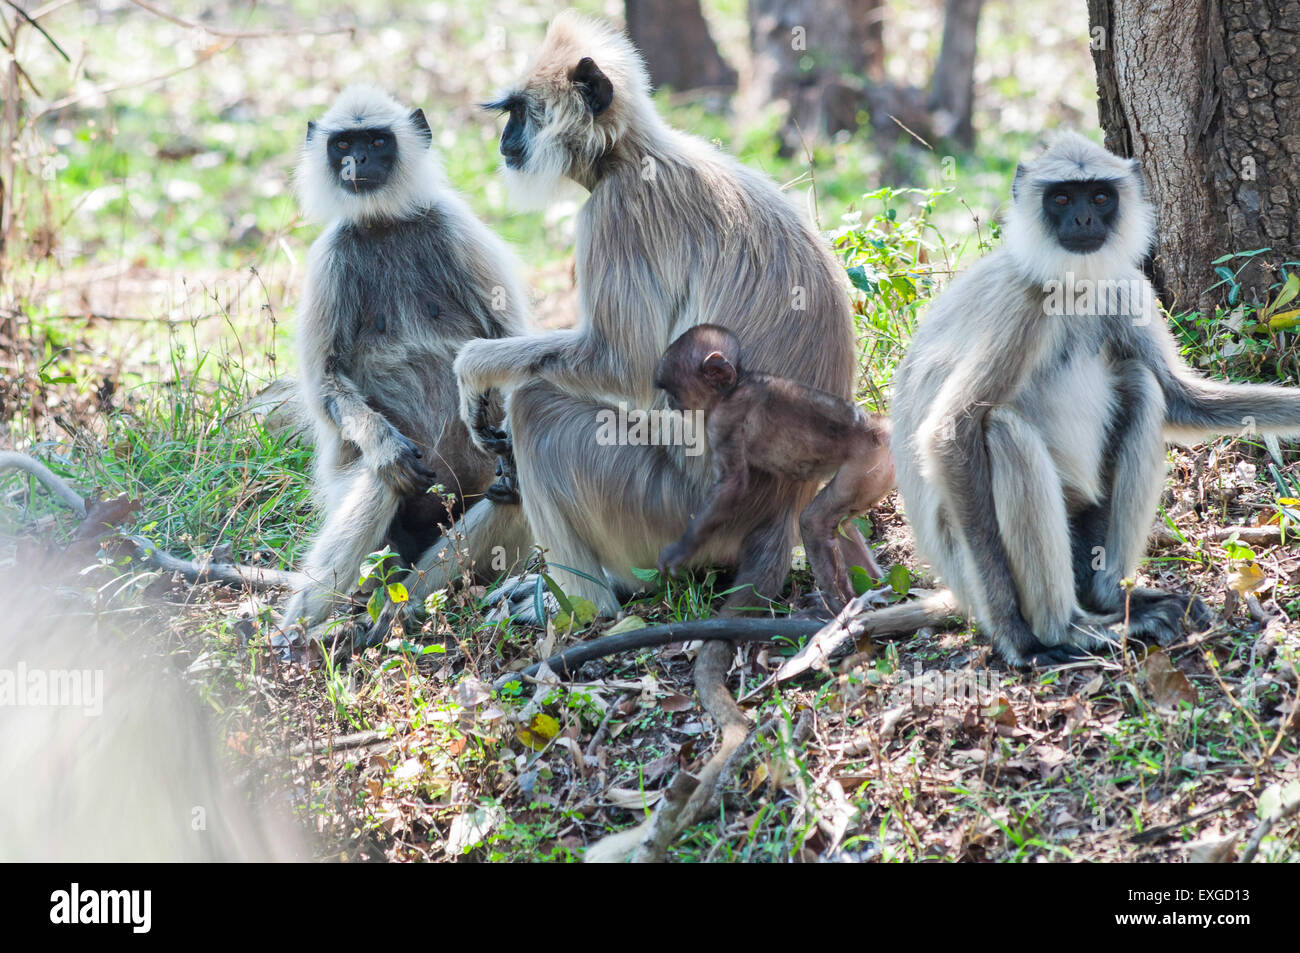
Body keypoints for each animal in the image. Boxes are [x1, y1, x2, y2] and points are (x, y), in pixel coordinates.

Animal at [282, 85, 530, 629]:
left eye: (377, 141)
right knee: (382, 480)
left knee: (513, 489)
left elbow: (509, 343)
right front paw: (386, 448)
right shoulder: (330, 256)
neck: (384, 223)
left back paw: (402, 611)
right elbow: (326, 385)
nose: (357, 162)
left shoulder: (454, 229)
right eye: (343, 144)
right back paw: (302, 630)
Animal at [384, 14, 852, 629]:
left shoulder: (615, 213)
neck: (627, 156)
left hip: (667, 512)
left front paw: (476, 371)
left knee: (538, 410)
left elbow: (622, 364)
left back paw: (581, 608)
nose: (504, 142)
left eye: (520, 113)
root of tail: (780, 514)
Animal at [894, 133, 1300, 665]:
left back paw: (1114, 597)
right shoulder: (1021, 304)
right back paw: (1065, 629)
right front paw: (1013, 634)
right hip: (966, 559)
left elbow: (1183, 400)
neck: (1072, 286)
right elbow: (950, 433)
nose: (1084, 220)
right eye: (1063, 198)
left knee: (1142, 384)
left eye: (1101, 197)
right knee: (1002, 430)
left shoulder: (1125, 284)